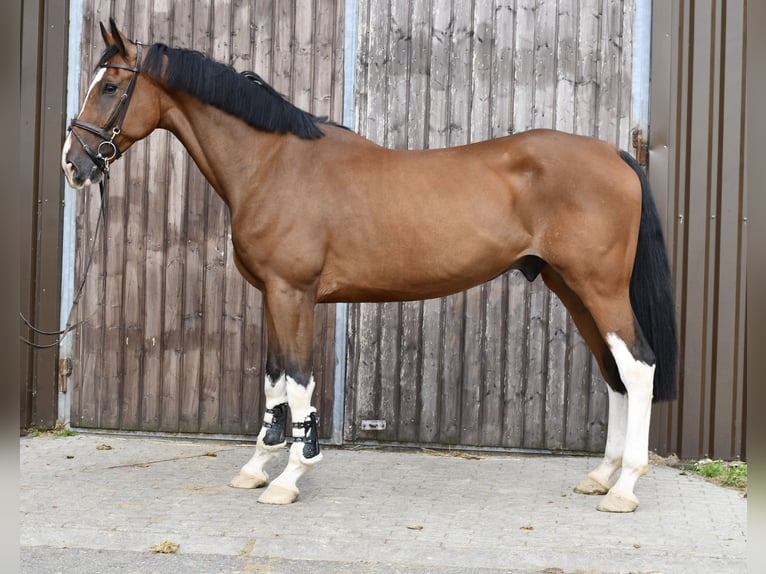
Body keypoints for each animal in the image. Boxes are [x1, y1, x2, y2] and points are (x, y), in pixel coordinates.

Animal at [62, 19, 677, 513]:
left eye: (111, 86)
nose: (74, 165)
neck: (273, 163)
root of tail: (615, 154)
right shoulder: (271, 294)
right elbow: (275, 383)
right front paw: (254, 470)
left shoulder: (294, 292)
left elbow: (300, 383)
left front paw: (289, 478)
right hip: (570, 288)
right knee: (614, 372)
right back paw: (601, 476)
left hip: (599, 288)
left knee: (638, 367)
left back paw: (625, 489)